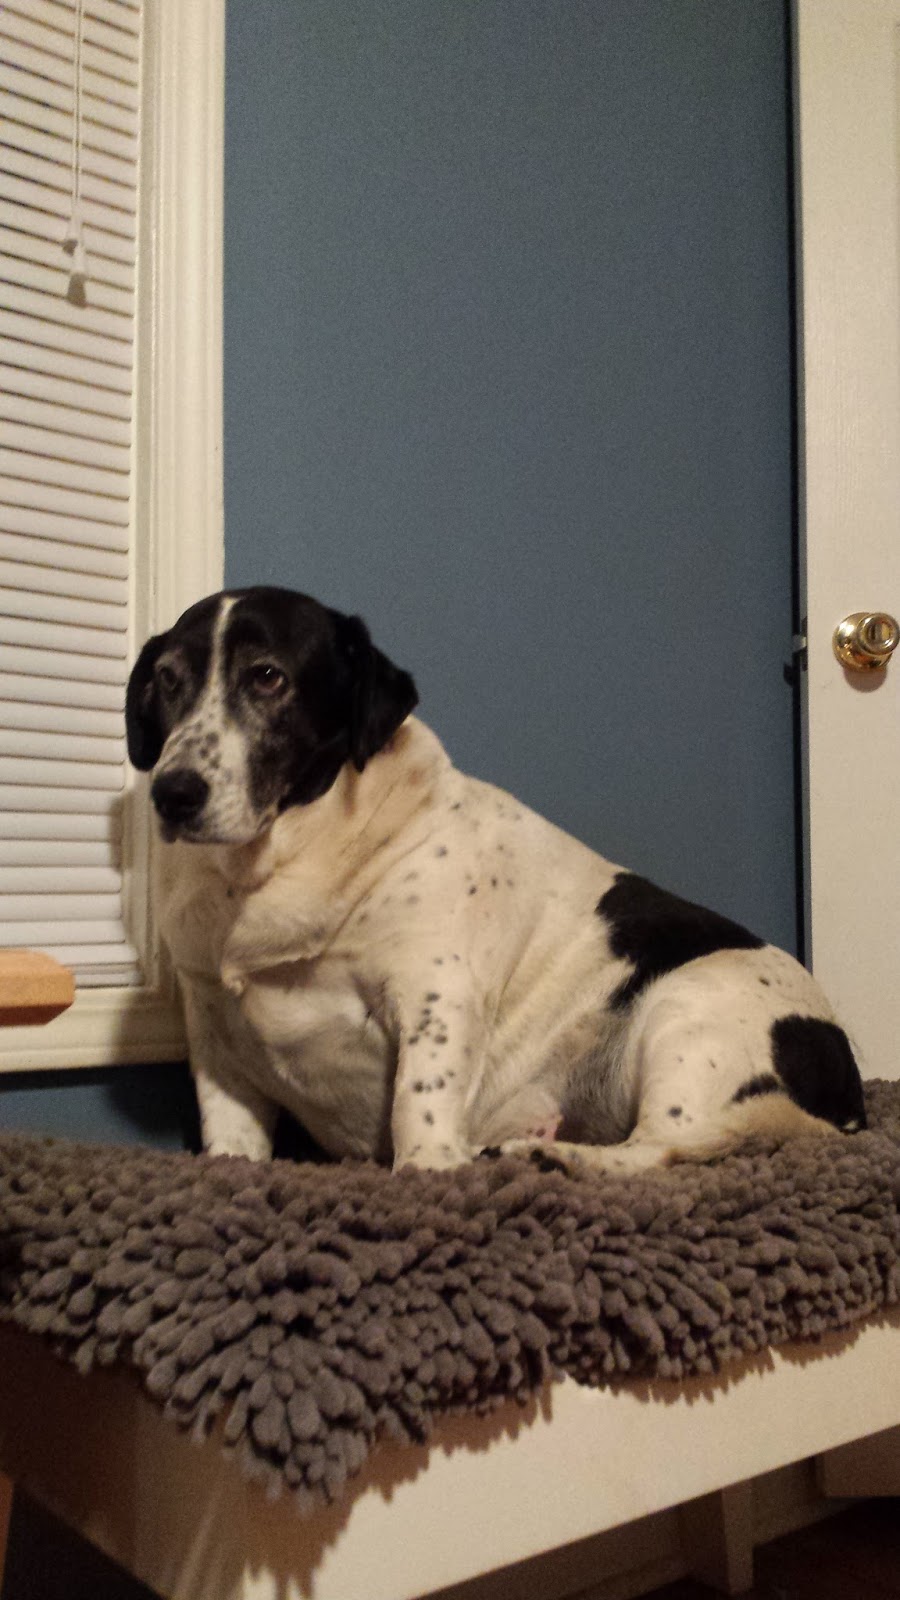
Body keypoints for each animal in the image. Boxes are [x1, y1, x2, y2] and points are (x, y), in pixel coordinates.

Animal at [126, 586, 866, 1177]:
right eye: (168, 680)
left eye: (267, 677)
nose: (172, 793)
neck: (283, 865)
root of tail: (849, 1094)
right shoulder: (215, 1028)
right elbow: (230, 1132)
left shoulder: (436, 996)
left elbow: (419, 1103)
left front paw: (427, 1170)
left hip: (685, 1015)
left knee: (660, 1148)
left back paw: (552, 1156)